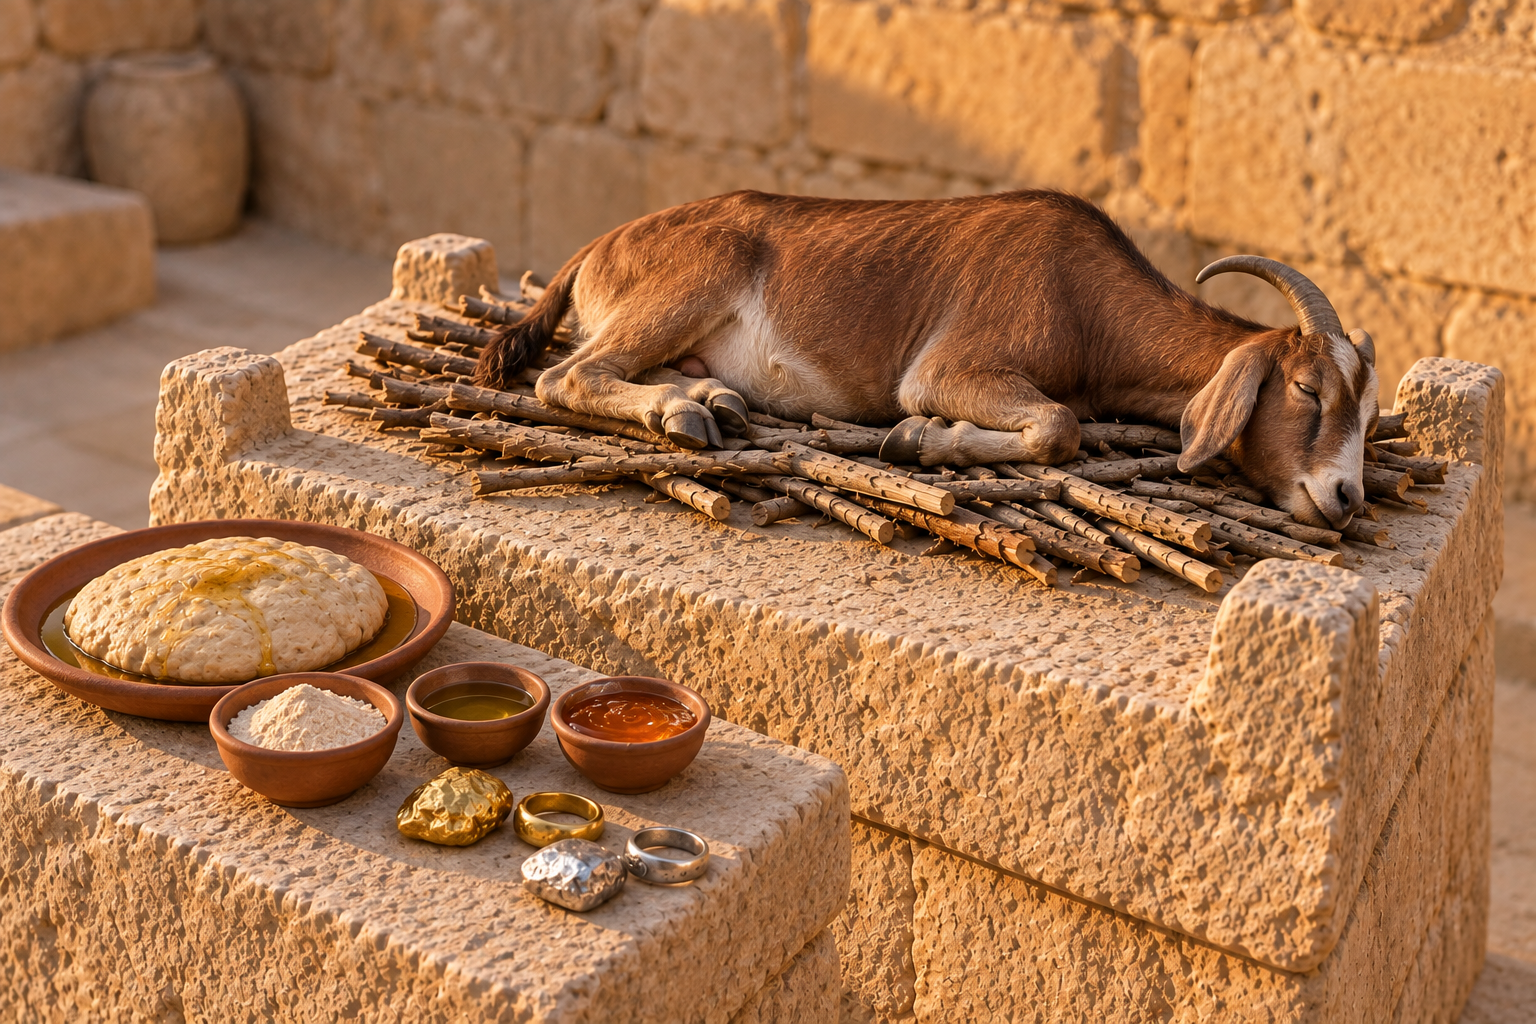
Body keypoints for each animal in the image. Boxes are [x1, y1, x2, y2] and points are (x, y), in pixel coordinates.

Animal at [474, 190, 1377, 530]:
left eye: (1369, 415)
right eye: (1307, 388)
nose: (1346, 497)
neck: (1086, 299)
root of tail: (599, 246)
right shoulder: (950, 369)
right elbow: (1058, 426)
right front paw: (919, 440)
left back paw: (706, 403)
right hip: (692, 280)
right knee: (566, 374)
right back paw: (680, 412)